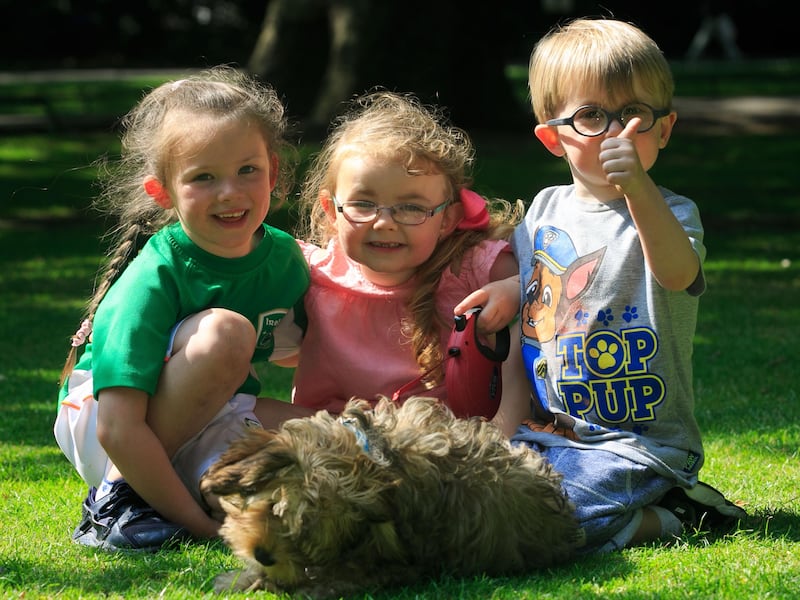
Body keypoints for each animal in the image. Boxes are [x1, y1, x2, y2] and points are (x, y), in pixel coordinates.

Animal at [200, 396, 576, 596]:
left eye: (305, 539)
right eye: (272, 507)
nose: (262, 554)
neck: (365, 461)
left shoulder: (392, 561)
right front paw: (245, 578)